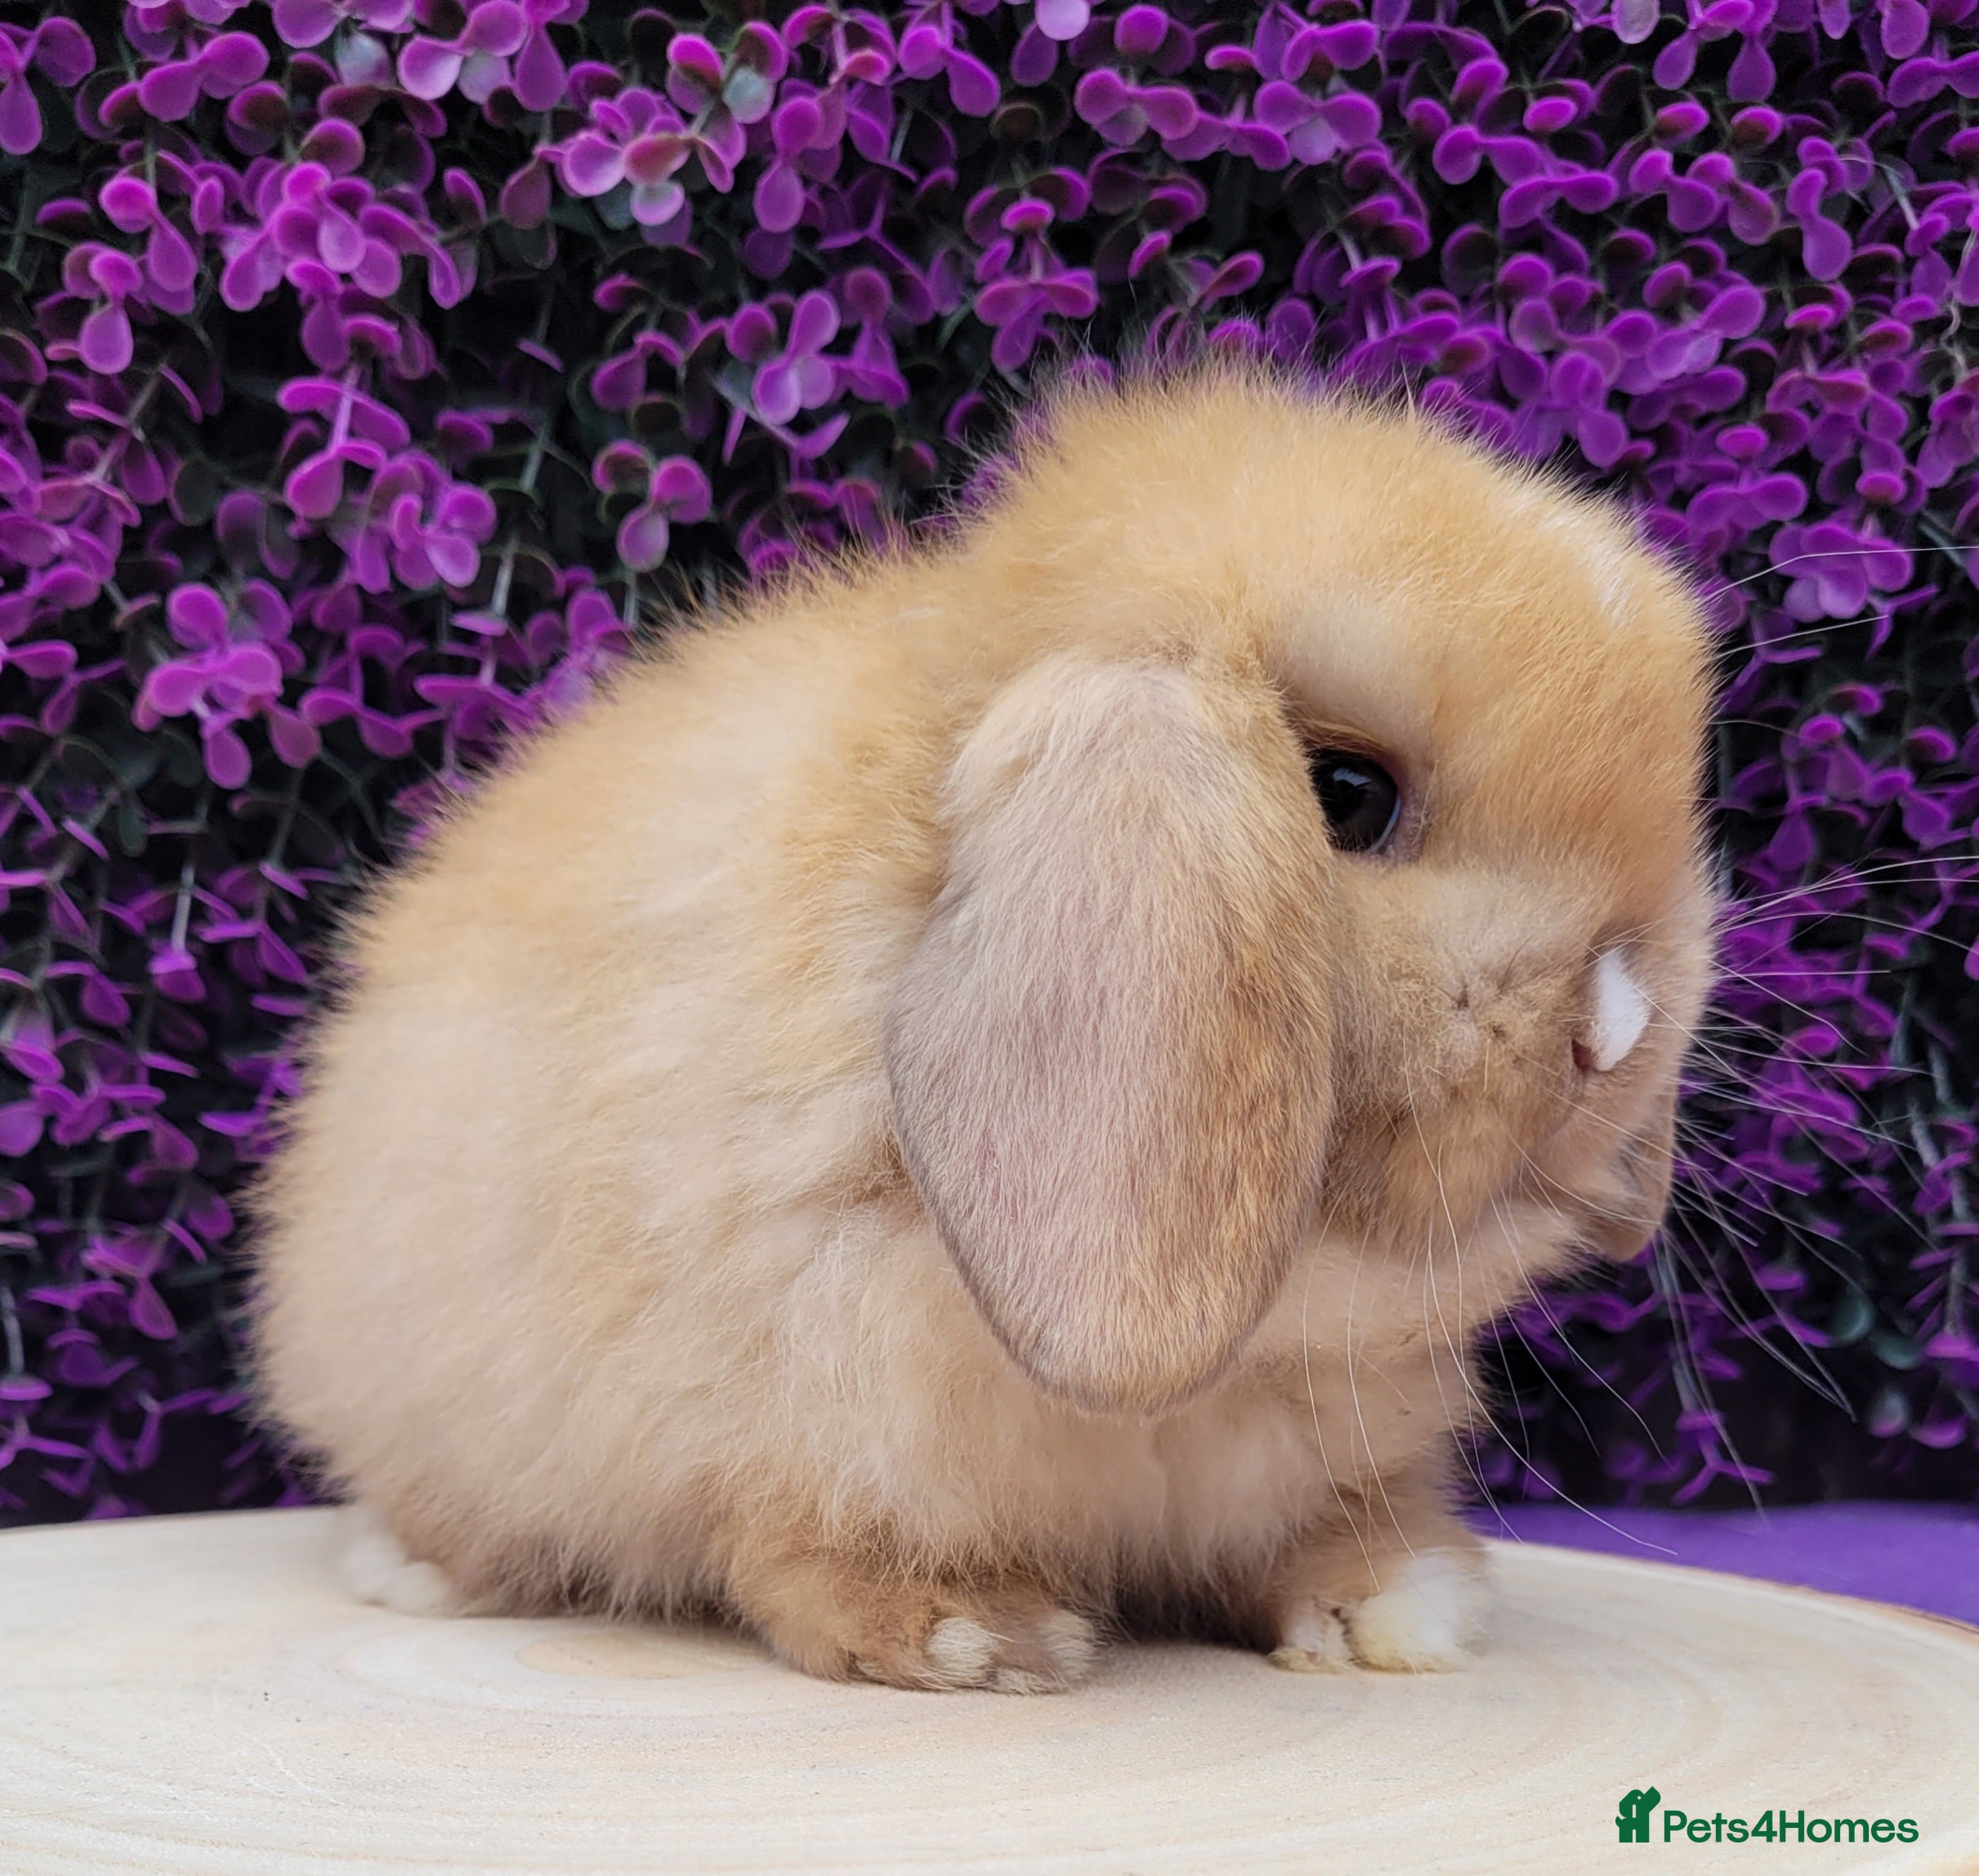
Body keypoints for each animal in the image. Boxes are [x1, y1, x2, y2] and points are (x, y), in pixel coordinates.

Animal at [248, 360, 1718, 1694]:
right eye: (1346, 795)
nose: (1617, 1025)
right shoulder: (809, 1402)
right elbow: (793, 1542)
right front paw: (974, 1637)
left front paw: (1394, 1606)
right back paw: (418, 1570)